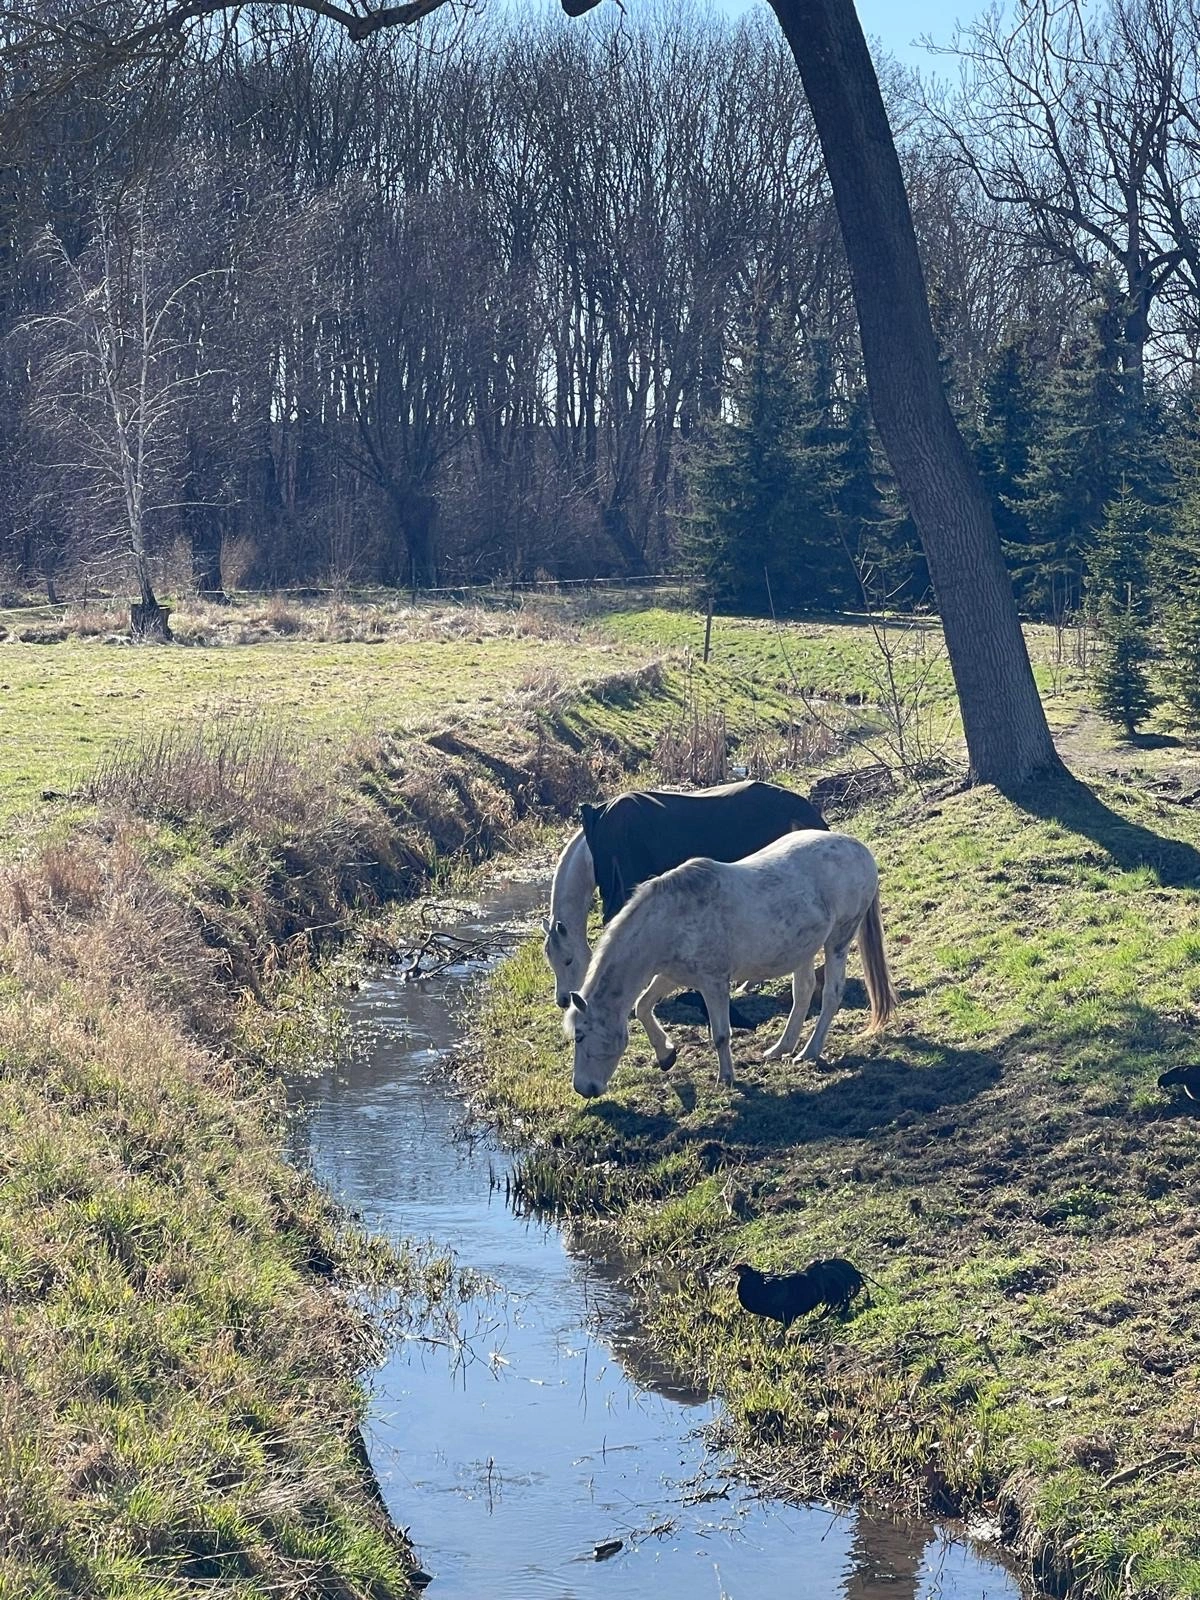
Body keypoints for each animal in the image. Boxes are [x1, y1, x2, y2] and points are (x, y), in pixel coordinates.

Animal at [564, 829, 895, 1098]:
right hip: (804, 949)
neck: (670, 920)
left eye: (580, 1035)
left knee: (830, 995)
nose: (583, 1089)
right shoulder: (673, 975)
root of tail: (859, 849)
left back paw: (808, 1053)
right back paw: (780, 1048)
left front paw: (726, 1079)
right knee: (803, 993)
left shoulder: (713, 983)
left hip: (838, 941)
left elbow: (721, 1034)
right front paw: (666, 1055)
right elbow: (642, 1006)